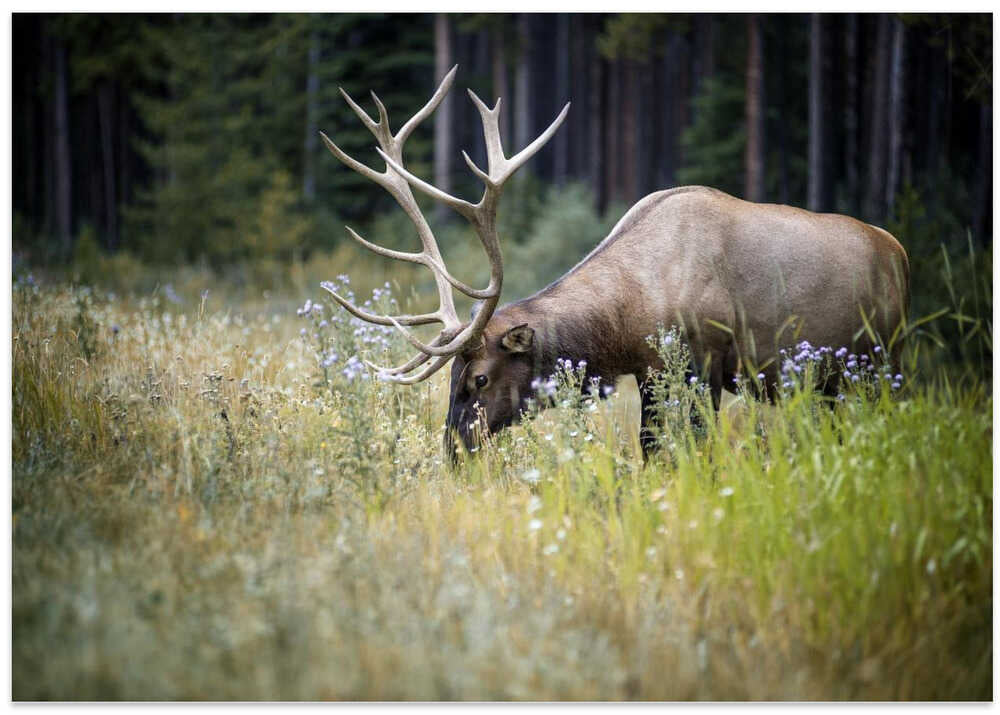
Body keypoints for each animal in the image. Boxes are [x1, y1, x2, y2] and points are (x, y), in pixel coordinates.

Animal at [319, 67, 910, 459]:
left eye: (480, 379)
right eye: (450, 379)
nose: (454, 451)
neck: (628, 316)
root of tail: (900, 254)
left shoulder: (703, 361)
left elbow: (694, 450)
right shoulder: (649, 372)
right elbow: (649, 449)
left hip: (882, 361)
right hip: (836, 382)